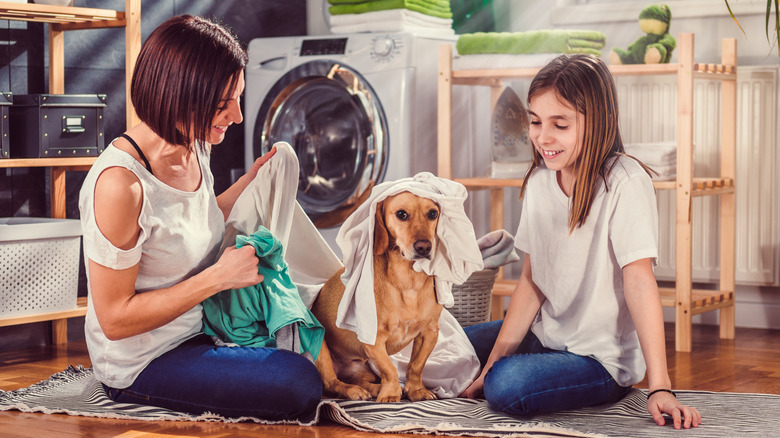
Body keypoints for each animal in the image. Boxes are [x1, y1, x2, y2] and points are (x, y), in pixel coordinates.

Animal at [310, 192, 444, 404]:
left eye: (432, 213)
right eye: (401, 214)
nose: (424, 247)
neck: (408, 280)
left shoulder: (429, 332)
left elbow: (416, 366)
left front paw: (416, 390)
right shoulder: (373, 339)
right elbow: (389, 370)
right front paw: (390, 394)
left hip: (364, 368)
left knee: (361, 381)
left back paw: (373, 389)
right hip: (320, 346)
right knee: (332, 383)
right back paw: (354, 391)